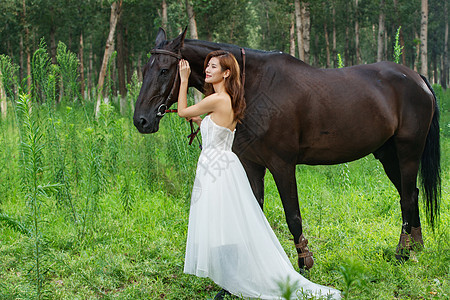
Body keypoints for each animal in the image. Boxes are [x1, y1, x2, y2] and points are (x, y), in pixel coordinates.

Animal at [133, 28, 440, 270]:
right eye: (145, 70)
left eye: (164, 70)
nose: (141, 120)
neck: (254, 86)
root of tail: (417, 78)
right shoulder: (252, 164)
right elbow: (254, 210)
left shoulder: (281, 165)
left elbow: (293, 217)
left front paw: (304, 266)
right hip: (388, 155)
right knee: (410, 193)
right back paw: (415, 246)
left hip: (408, 152)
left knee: (407, 197)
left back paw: (402, 253)